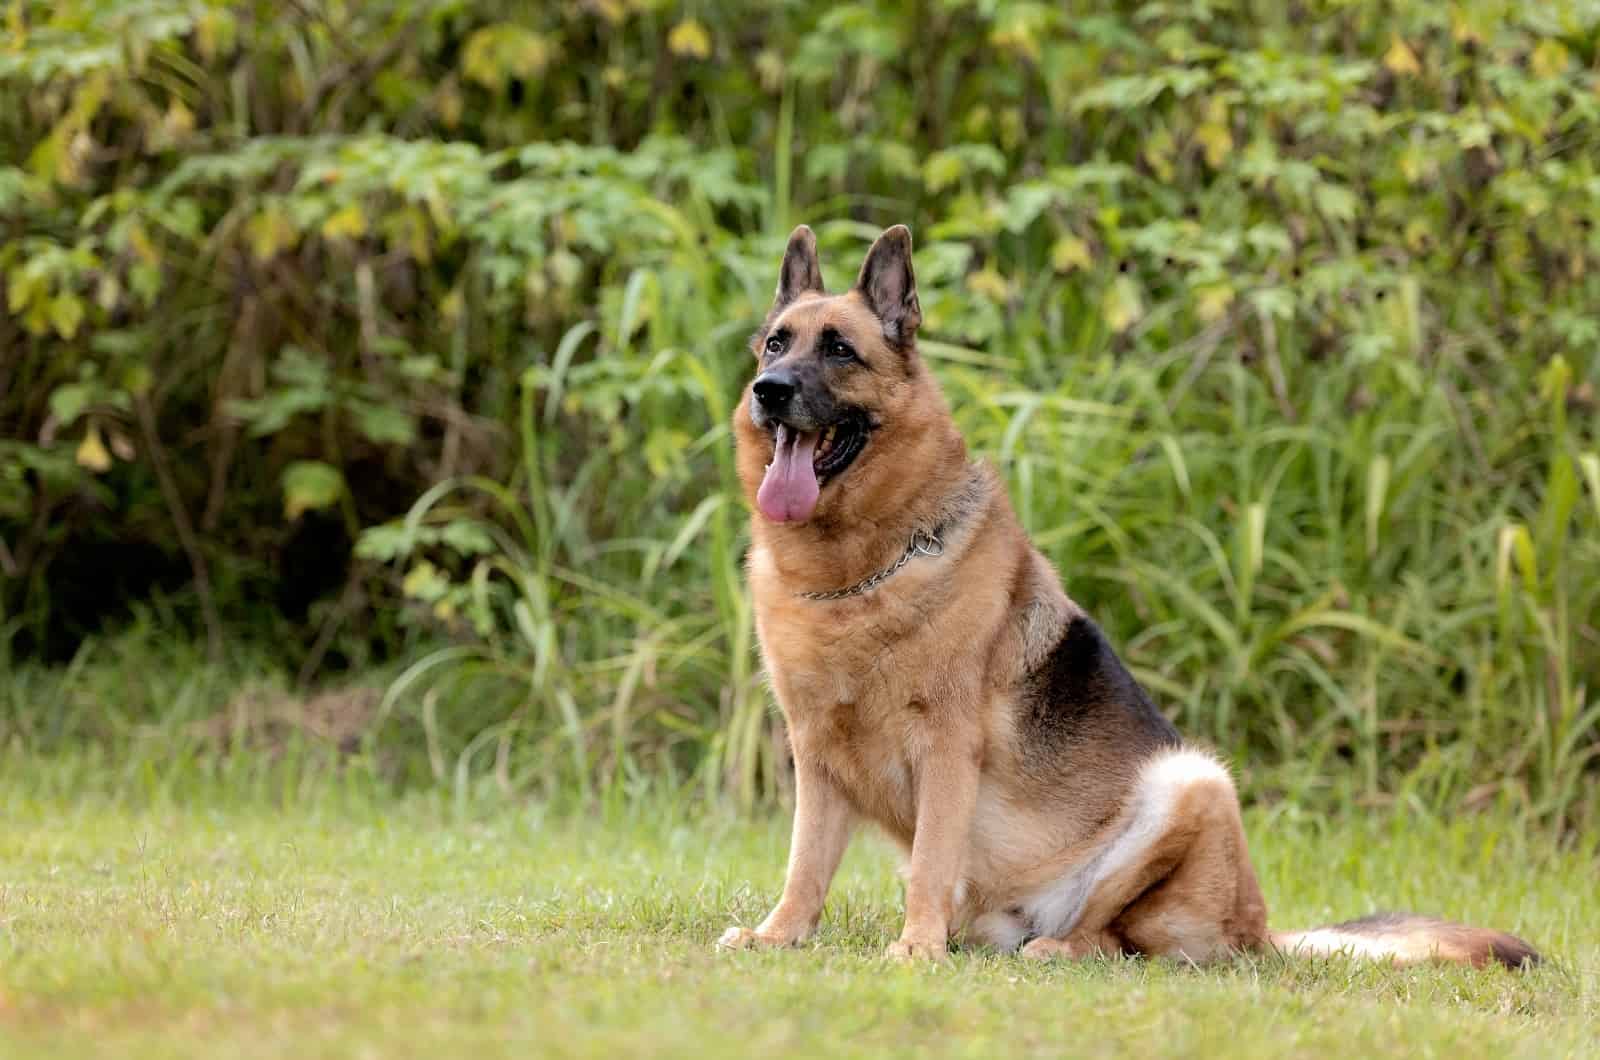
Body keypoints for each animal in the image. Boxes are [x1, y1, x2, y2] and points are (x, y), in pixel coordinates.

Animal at [716, 225, 1536, 973]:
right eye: (775, 346)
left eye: (840, 351)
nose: (769, 392)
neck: (861, 571)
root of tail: (1258, 930)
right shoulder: (815, 755)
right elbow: (804, 865)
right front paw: (778, 937)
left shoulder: (946, 748)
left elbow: (928, 862)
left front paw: (916, 948)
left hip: (1191, 782)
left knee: (1107, 938)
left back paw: (1051, 949)